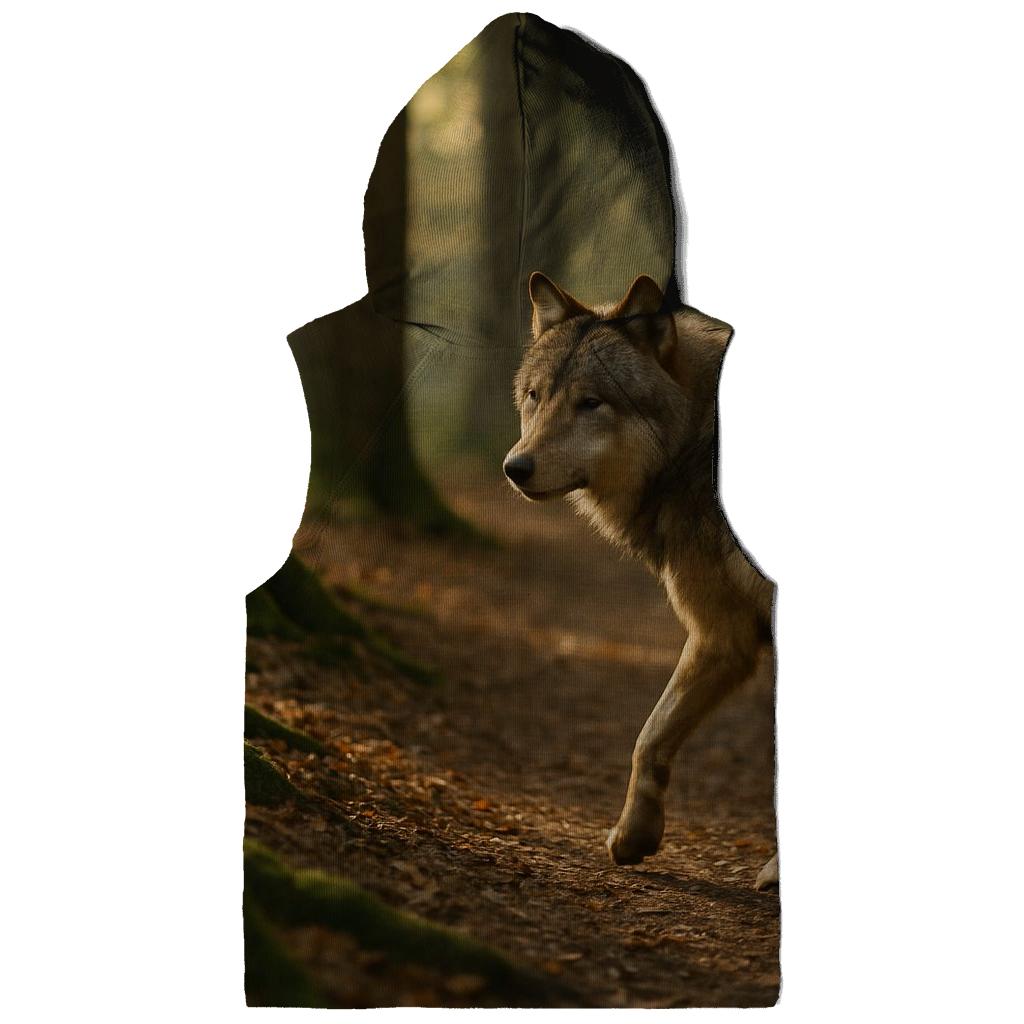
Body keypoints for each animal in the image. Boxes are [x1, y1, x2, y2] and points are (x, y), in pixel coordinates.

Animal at [503, 272, 778, 890]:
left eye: (591, 402)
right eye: (536, 395)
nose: (515, 468)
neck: (700, 446)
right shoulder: (724, 634)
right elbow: (648, 737)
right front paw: (635, 836)